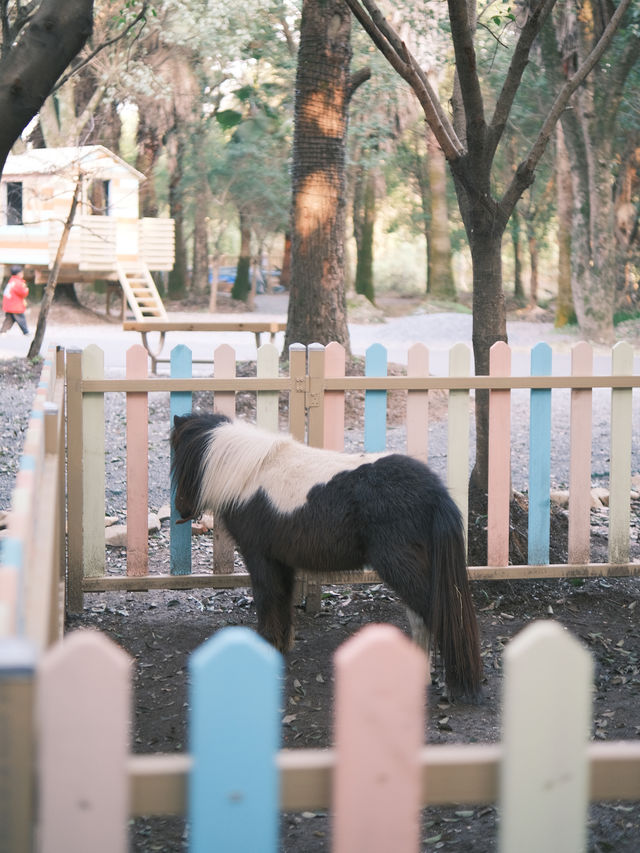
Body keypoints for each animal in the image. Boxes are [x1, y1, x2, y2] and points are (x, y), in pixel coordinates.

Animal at [172, 412, 482, 700]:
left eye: (180, 460)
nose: (181, 510)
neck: (251, 476)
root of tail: (434, 492)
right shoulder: (281, 560)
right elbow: (283, 601)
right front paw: (282, 646)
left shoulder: (259, 556)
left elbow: (267, 599)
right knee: (423, 619)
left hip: (402, 568)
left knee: (435, 614)